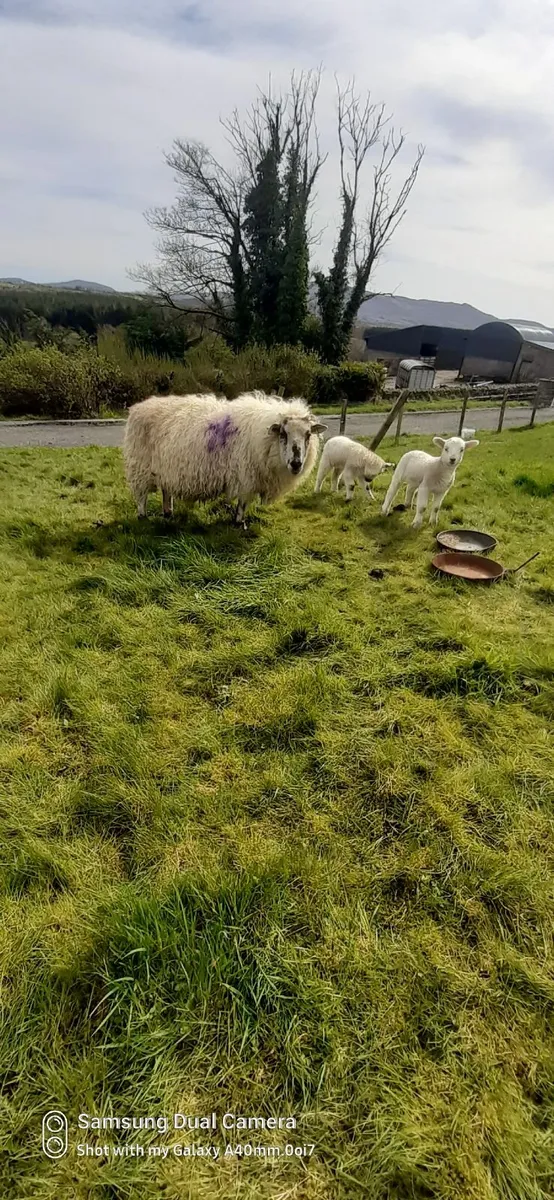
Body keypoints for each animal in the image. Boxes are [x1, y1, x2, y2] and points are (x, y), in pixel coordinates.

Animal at [123, 391, 327, 525]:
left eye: (308, 434)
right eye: (283, 434)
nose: (296, 463)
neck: (265, 439)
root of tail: (138, 408)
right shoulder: (246, 476)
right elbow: (243, 503)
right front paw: (239, 523)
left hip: (166, 468)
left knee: (166, 491)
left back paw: (168, 513)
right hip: (140, 466)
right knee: (141, 496)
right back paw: (143, 517)